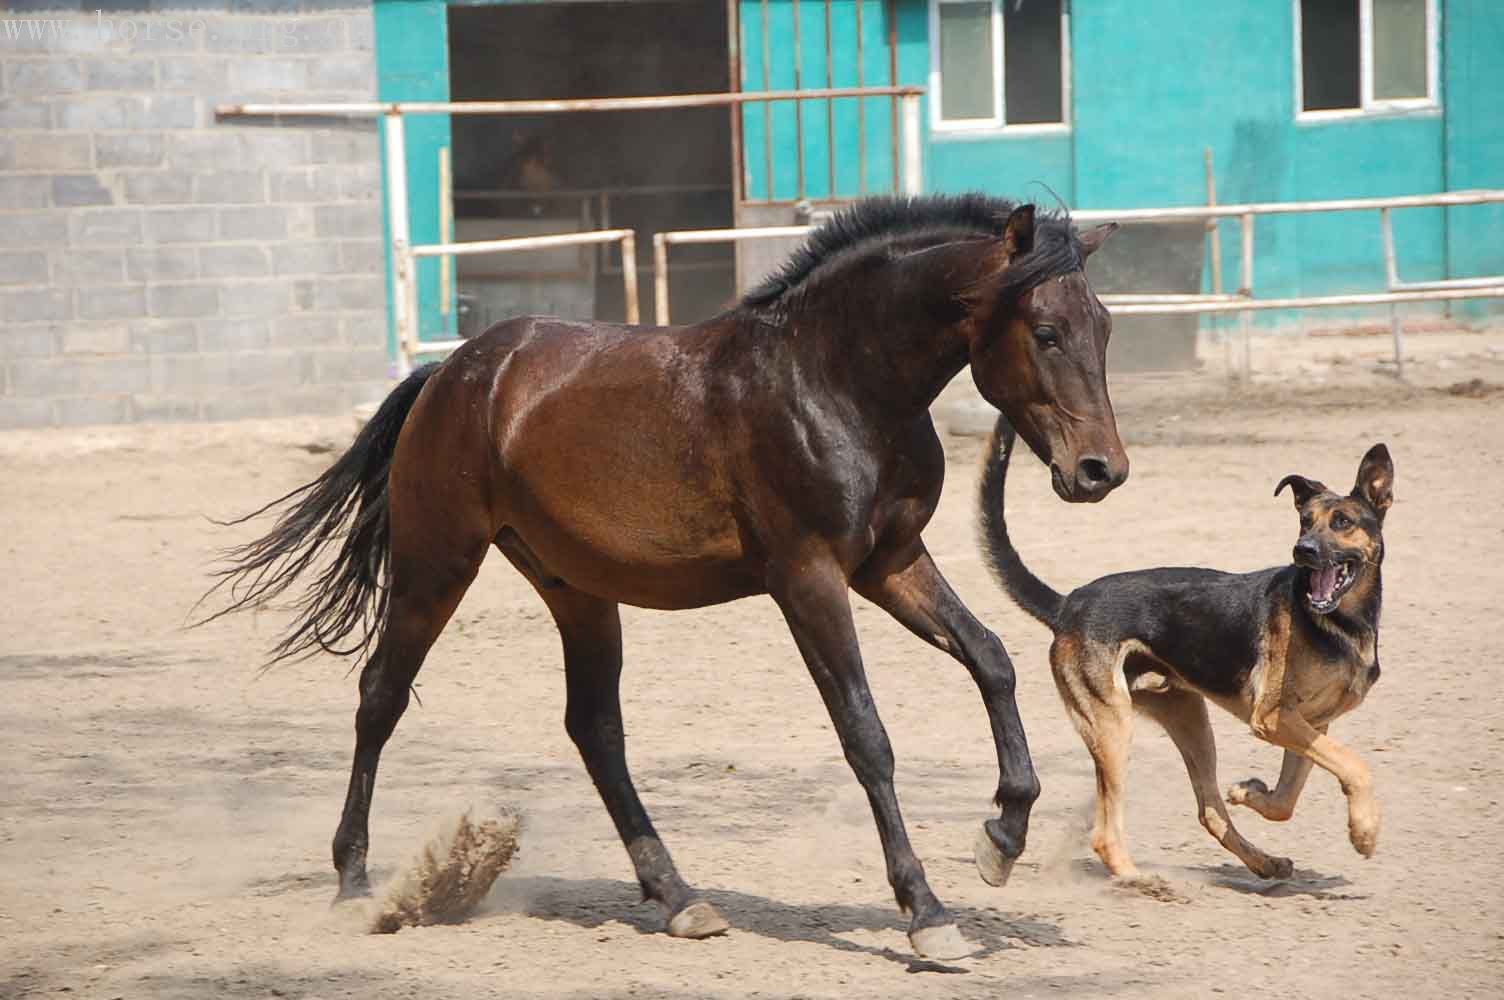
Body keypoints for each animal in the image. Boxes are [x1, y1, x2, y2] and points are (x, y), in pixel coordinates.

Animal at [206, 192, 1124, 950]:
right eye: (1045, 333)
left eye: (1107, 328)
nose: (1100, 472)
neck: (833, 376)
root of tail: (454, 371)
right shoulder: (809, 578)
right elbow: (867, 736)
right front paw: (927, 912)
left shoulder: (891, 563)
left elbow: (992, 659)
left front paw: (1001, 839)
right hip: (438, 562)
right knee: (381, 698)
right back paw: (356, 882)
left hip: (576, 592)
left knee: (594, 730)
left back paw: (679, 898)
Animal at [980, 418, 1389, 878]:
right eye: (1305, 521)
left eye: (1343, 521)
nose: (1303, 550)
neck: (1338, 624)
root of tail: (1067, 604)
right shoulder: (1273, 717)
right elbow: (1355, 765)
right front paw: (1364, 831)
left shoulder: (1313, 724)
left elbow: (1285, 800)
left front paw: (1250, 792)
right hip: (1113, 725)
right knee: (1106, 834)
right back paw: (1136, 879)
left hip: (1189, 719)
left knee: (1208, 810)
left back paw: (1264, 862)